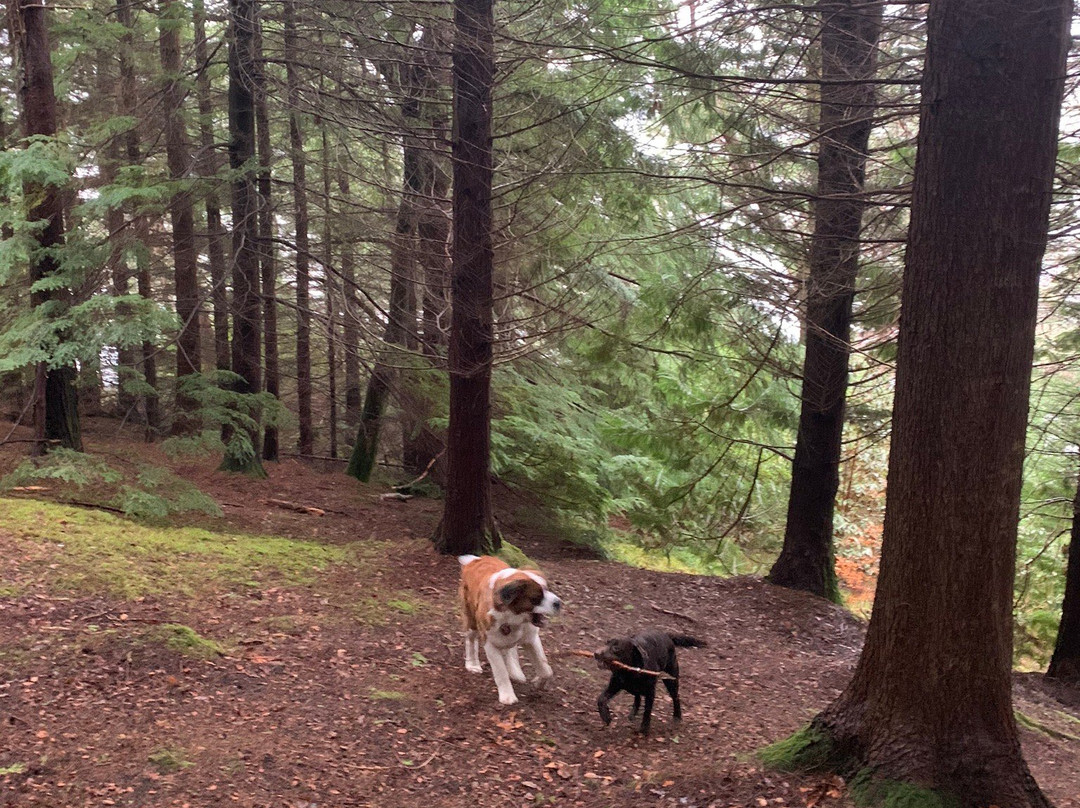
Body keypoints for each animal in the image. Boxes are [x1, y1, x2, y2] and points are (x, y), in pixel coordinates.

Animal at [455, 553, 561, 704]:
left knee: (510, 649)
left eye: (547, 589)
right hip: (471, 619)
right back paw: (473, 664)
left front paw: (540, 682)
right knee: (471, 640)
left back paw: (515, 671)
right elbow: (501, 672)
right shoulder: (490, 643)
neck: (512, 617)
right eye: (536, 598)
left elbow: (546, 668)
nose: (558, 603)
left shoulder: (531, 638)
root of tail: (476, 559)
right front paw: (508, 696)